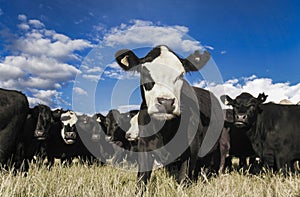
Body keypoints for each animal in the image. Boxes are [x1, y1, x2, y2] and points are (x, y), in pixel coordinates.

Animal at [114, 45, 223, 190]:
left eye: (181, 75)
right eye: (145, 73)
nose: (166, 102)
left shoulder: (192, 150)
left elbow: (183, 181)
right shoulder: (143, 146)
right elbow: (142, 179)